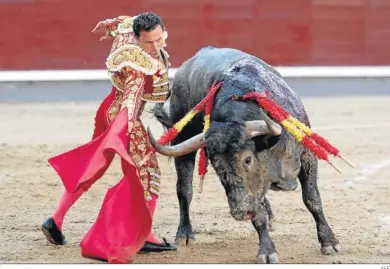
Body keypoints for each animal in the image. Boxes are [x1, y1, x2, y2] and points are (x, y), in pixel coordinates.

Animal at [149, 46, 342, 262]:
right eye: (216, 165)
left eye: (248, 159)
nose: (240, 212)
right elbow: (258, 215)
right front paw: (267, 252)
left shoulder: (307, 155)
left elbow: (312, 198)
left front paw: (329, 242)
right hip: (182, 140)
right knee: (184, 189)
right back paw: (184, 233)